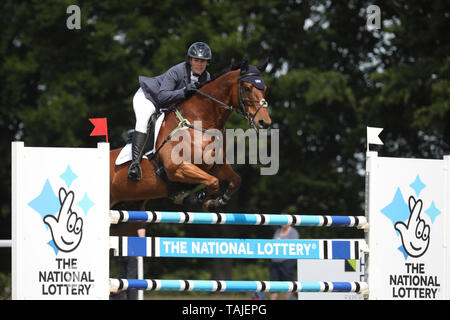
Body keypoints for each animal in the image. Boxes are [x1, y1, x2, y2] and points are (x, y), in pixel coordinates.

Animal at [110, 58, 270, 219]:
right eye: (248, 88)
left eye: (264, 89)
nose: (264, 123)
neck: (199, 122)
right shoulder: (177, 168)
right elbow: (213, 182)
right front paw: (193, 198)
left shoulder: (215, 166)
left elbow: (236, 180)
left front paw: (214, 202)